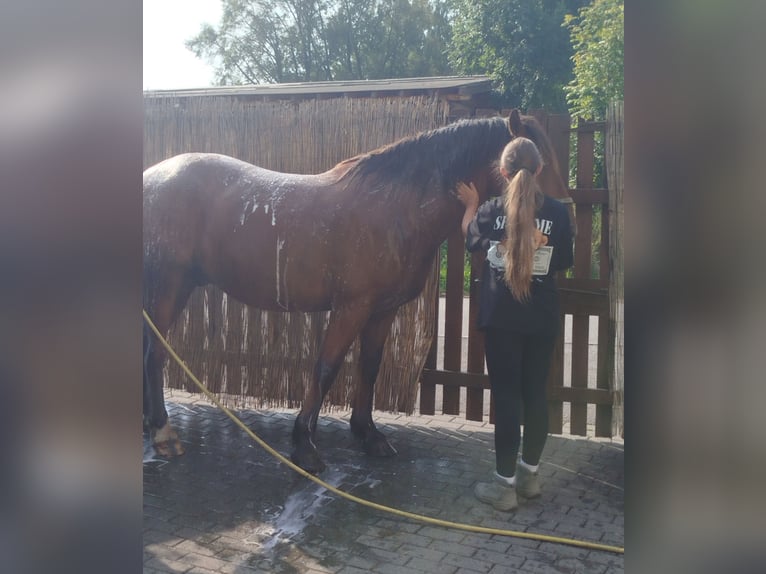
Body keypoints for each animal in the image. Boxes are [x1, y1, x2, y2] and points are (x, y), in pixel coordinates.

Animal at [144, 108, 568, 472]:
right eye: (540, 167)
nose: (565, 224)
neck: (397, 208)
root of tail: (151, 176)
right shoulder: (351, 308)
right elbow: (326, 367)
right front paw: (305, 445)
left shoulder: (382, 310)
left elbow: (370, 366)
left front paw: (368, 434)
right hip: (168, 286)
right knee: (155, 354)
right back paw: (163, 433)